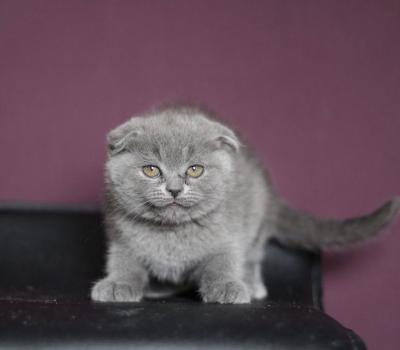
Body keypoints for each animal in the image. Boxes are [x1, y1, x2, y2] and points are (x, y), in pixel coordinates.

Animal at [91, 104, 400, 304]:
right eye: (151, 170)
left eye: (195, 170)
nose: (175, 189)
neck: (172, 232)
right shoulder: (121, 237)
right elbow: (123, 260)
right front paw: (118, 284)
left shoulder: (228, 234)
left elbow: (224, 260)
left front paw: (227, 287)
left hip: (256, 219)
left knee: (251, 257)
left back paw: (251, 285)